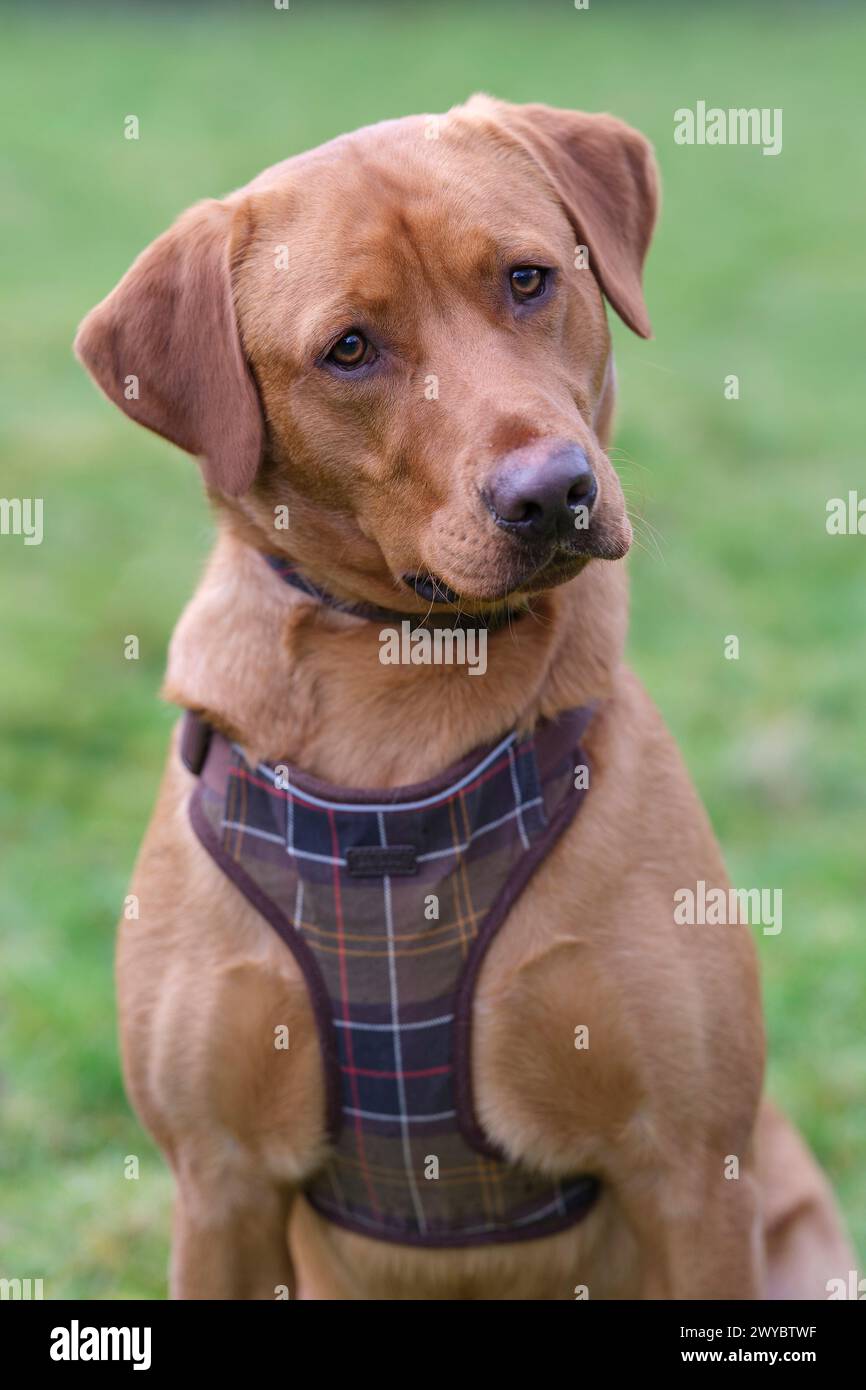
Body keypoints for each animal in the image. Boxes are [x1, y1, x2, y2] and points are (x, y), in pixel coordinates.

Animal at [76, 97, 856, 1301]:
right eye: (350, 348)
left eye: (528, 279)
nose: (551, 493)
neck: (404, 690)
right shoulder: (219, 1185)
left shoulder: (691, 1169)